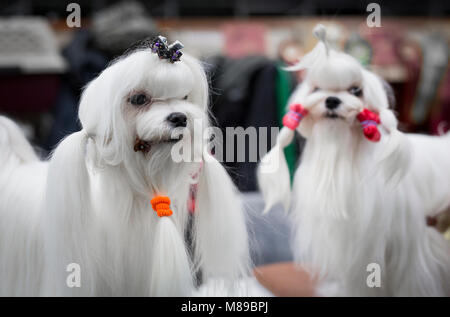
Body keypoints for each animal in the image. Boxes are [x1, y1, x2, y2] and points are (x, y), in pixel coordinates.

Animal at [258, 25, 450, 296]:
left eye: (355, 91)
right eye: (317, 89)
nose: (332, 100)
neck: (344, 155)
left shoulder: (408, 250)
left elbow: (409, 281)